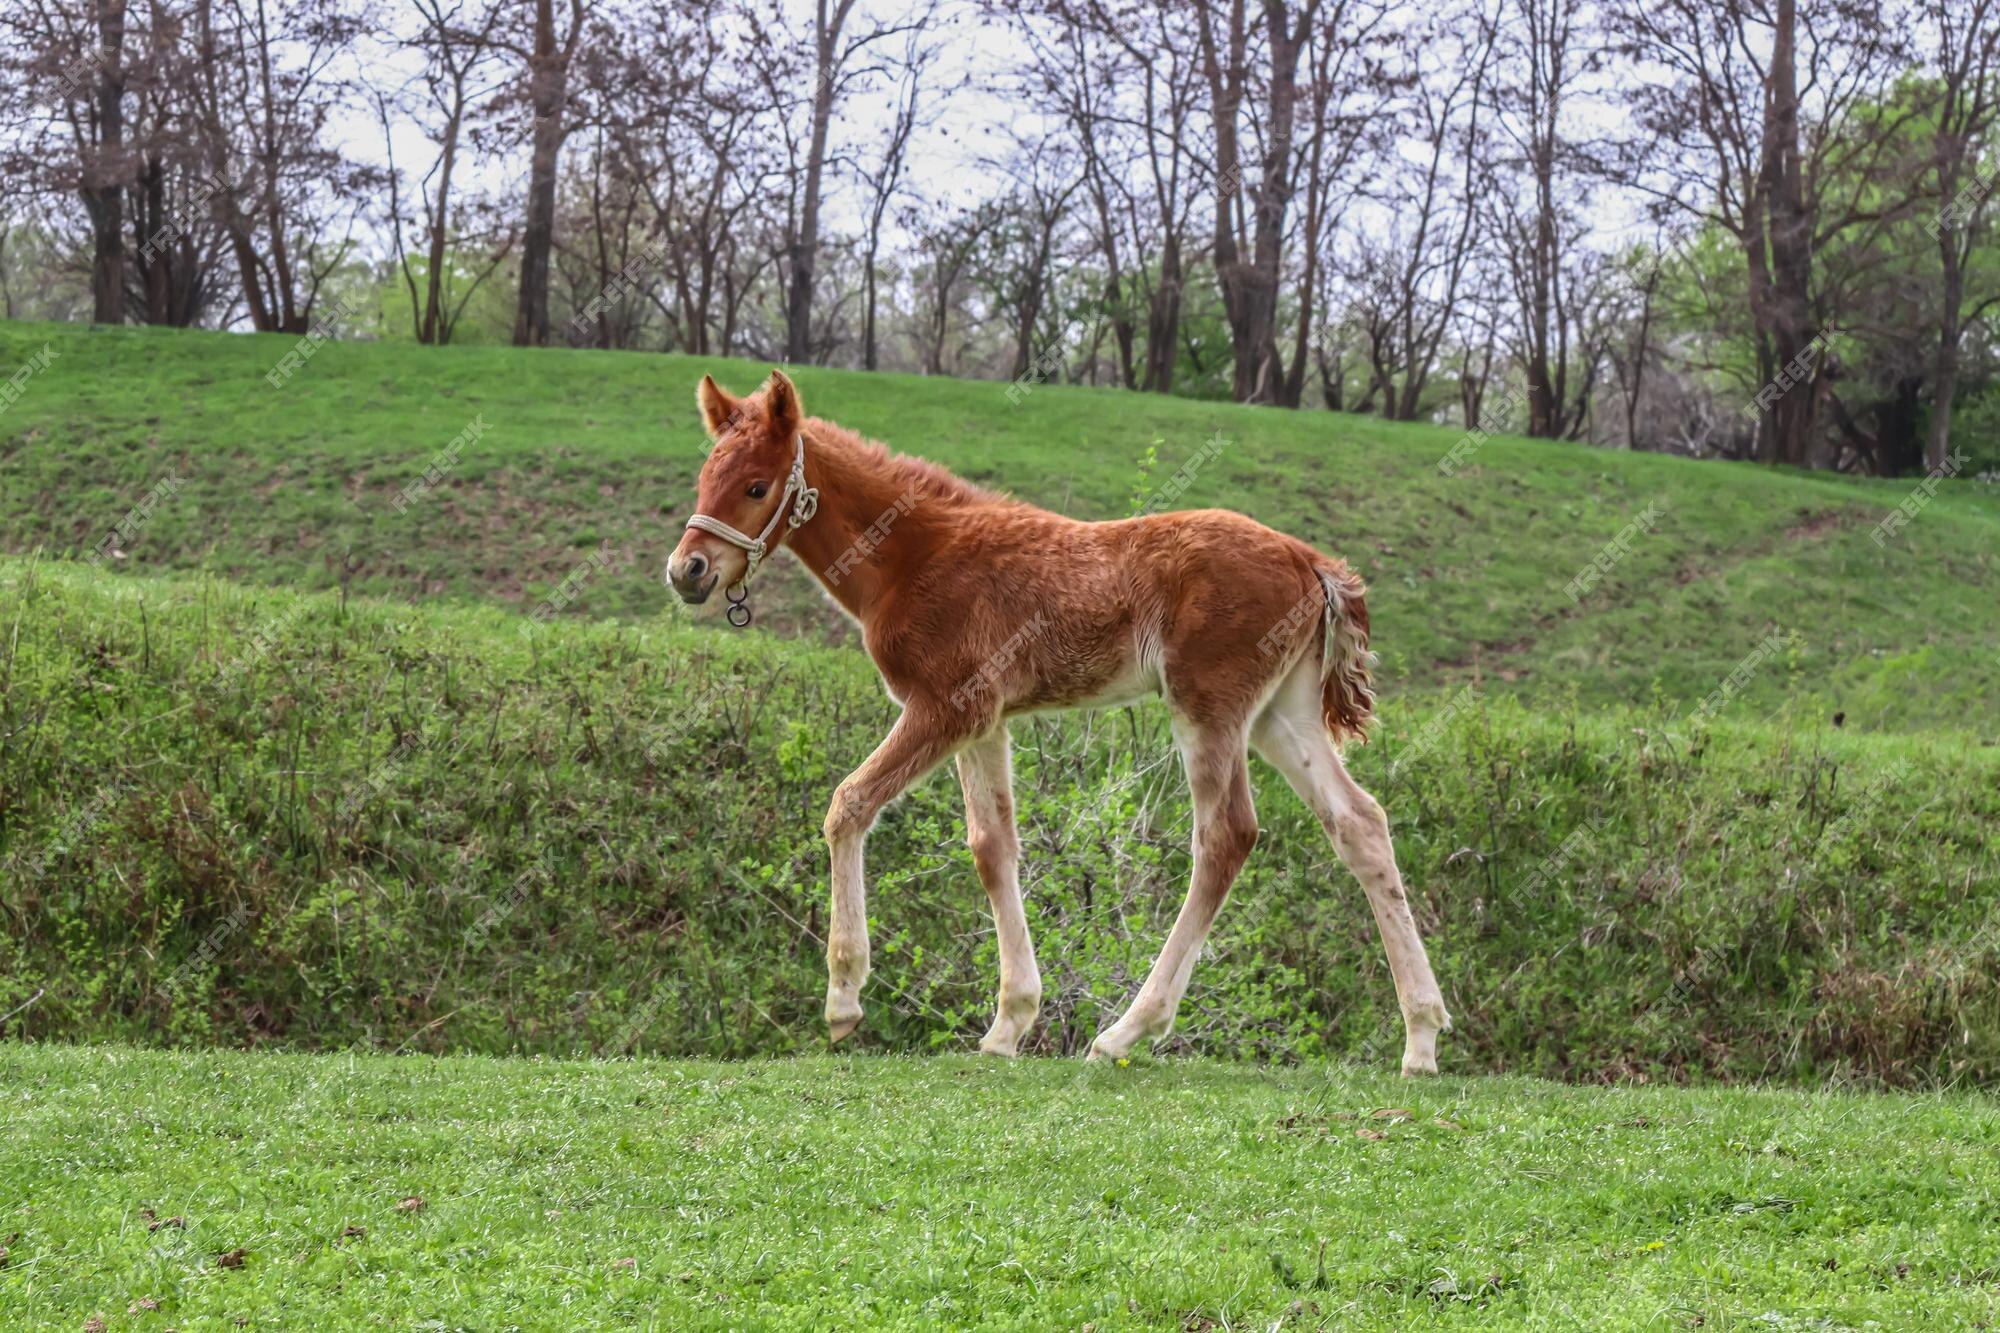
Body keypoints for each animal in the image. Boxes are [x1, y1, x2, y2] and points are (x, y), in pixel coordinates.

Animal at [672, 370, 1456, 1072]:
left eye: (757, 486)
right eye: (705, 477)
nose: (688, 570)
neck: (911, 554)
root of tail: (1310, 558)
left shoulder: (946, 705)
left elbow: (849, 803)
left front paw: (843, 999)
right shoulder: (984, 721)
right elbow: (992, 845)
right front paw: (1008, 1023)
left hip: (1208, 705)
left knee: (1226, 835)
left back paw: (1125, 1032)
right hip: (1278, 713)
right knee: (1359, 823)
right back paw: (1420, 1039)